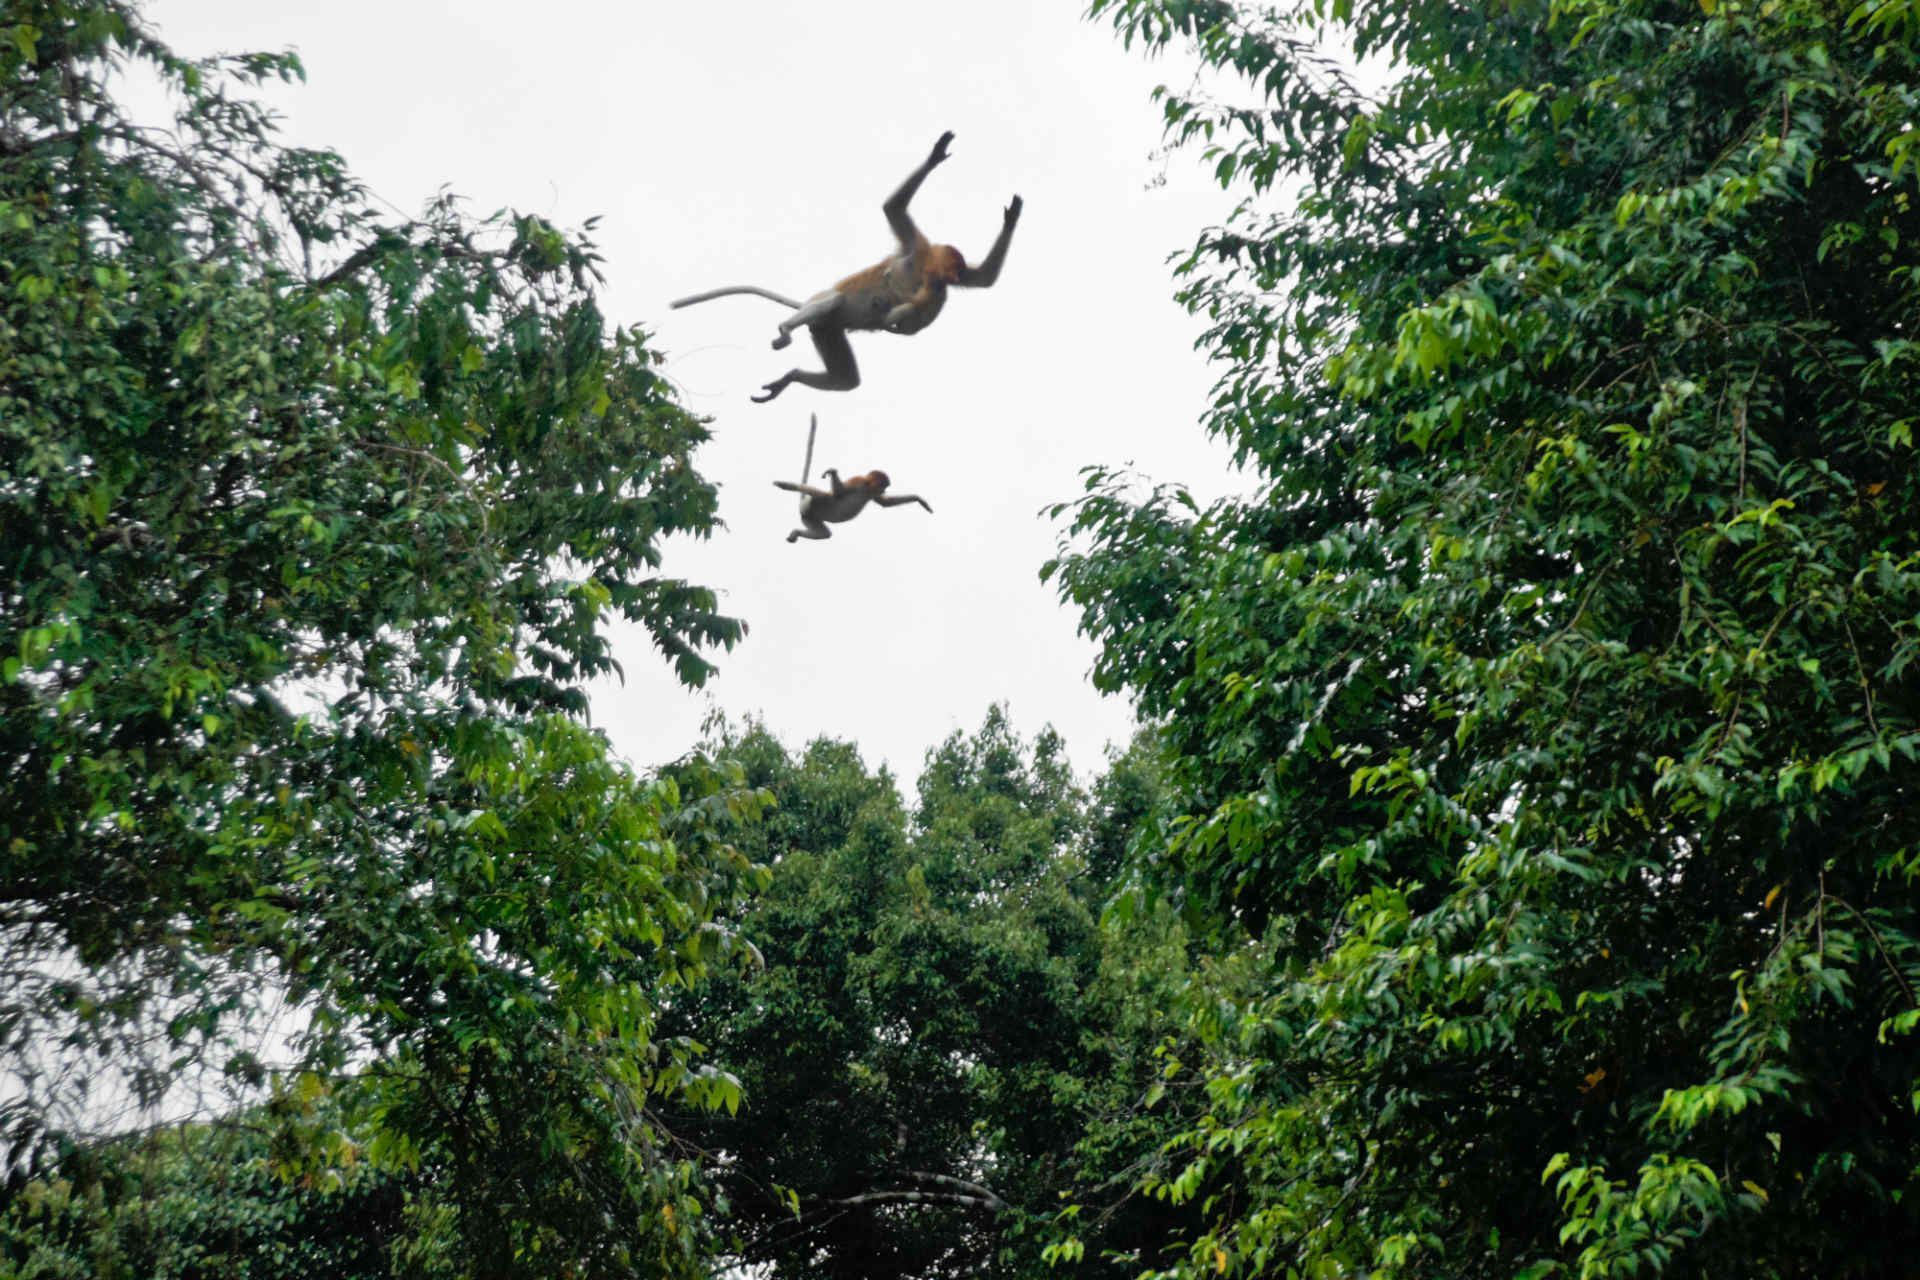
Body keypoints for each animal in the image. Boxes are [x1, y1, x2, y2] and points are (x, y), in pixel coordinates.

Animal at [670, 131, 1023, 403]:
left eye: (958, 270)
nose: (954, 275)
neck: (926, 269)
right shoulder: (917, 246)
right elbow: (893, 208)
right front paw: (936, 155)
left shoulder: (936, 278)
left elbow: (982, 280)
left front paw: (1012, 217)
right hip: (824, 314)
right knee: (834, 300)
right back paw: (786, 329)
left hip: (827, 330)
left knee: (847, 378)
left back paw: (791, 376)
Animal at [774, 468, 932, 543]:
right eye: (884, 485)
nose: (885, 490)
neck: (866, 487)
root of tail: (805, 509)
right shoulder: (858, 481)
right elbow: (838, 494)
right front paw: (832, 472)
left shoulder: (871, 492)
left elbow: (885, 503)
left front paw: (919, 499)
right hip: (815, 504)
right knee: (824, 495)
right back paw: (787, 485)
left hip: (810, 517)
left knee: (824, 534)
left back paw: (795, 533)